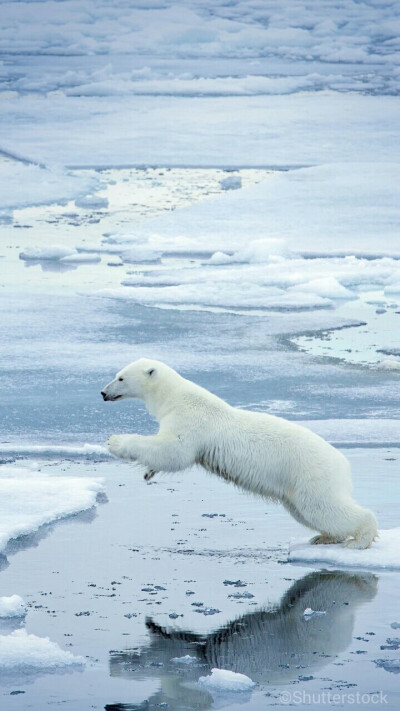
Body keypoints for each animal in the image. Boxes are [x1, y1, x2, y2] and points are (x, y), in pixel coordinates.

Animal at [102, 358, 378, 548]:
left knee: (325, 507)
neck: (175, 396)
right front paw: (148, 472)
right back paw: (324, 537)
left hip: (310, 473)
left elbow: (175, 450)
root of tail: (343, 464)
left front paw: (114, 441)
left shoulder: (190, 420)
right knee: (309, 512)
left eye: (121, 378)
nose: (103, 393)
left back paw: (360, 539)